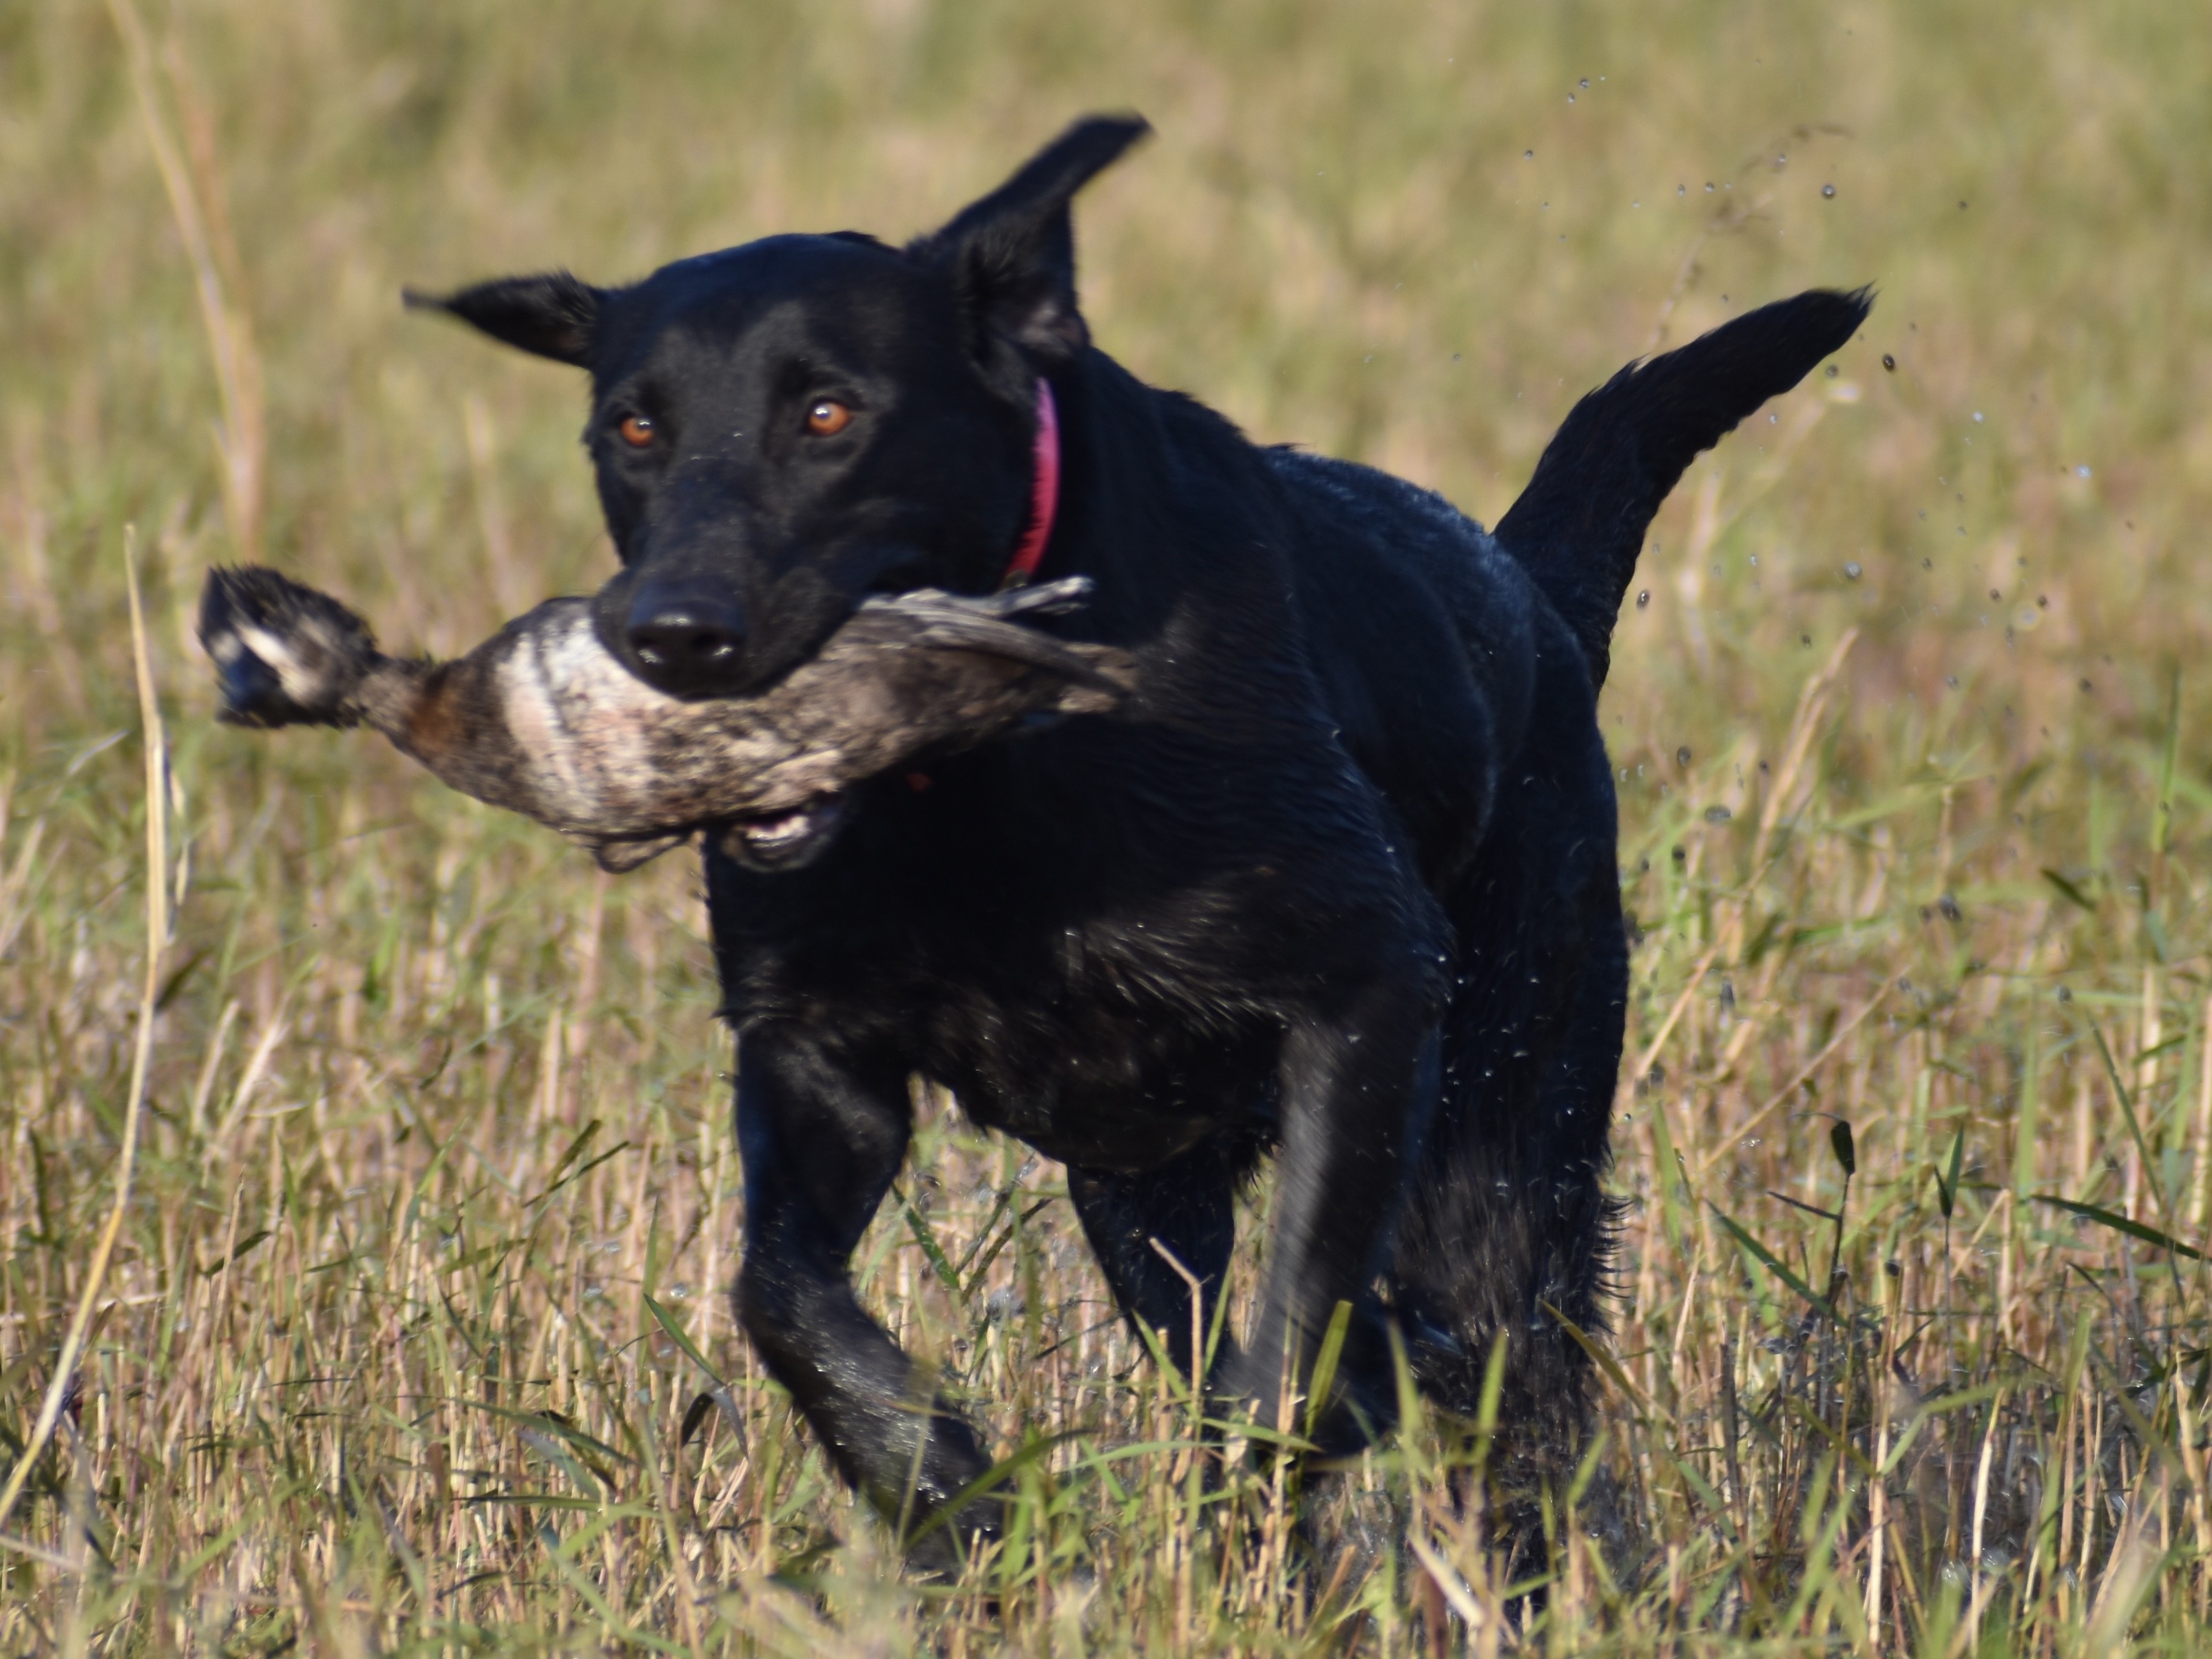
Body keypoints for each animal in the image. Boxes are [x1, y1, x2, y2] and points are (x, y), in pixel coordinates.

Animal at [415, 117, 1866, 1557]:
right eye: (633, 424)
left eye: (827, 412)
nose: (672, 633)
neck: (980, 783)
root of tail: (1533, 600)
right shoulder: (816, 1050)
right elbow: (779, 1292)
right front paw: (945, 1487)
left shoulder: (1367, 992)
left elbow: (1300, 1337)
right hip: (1142, 1187)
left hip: (1506, 1124)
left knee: (1501, 1372)